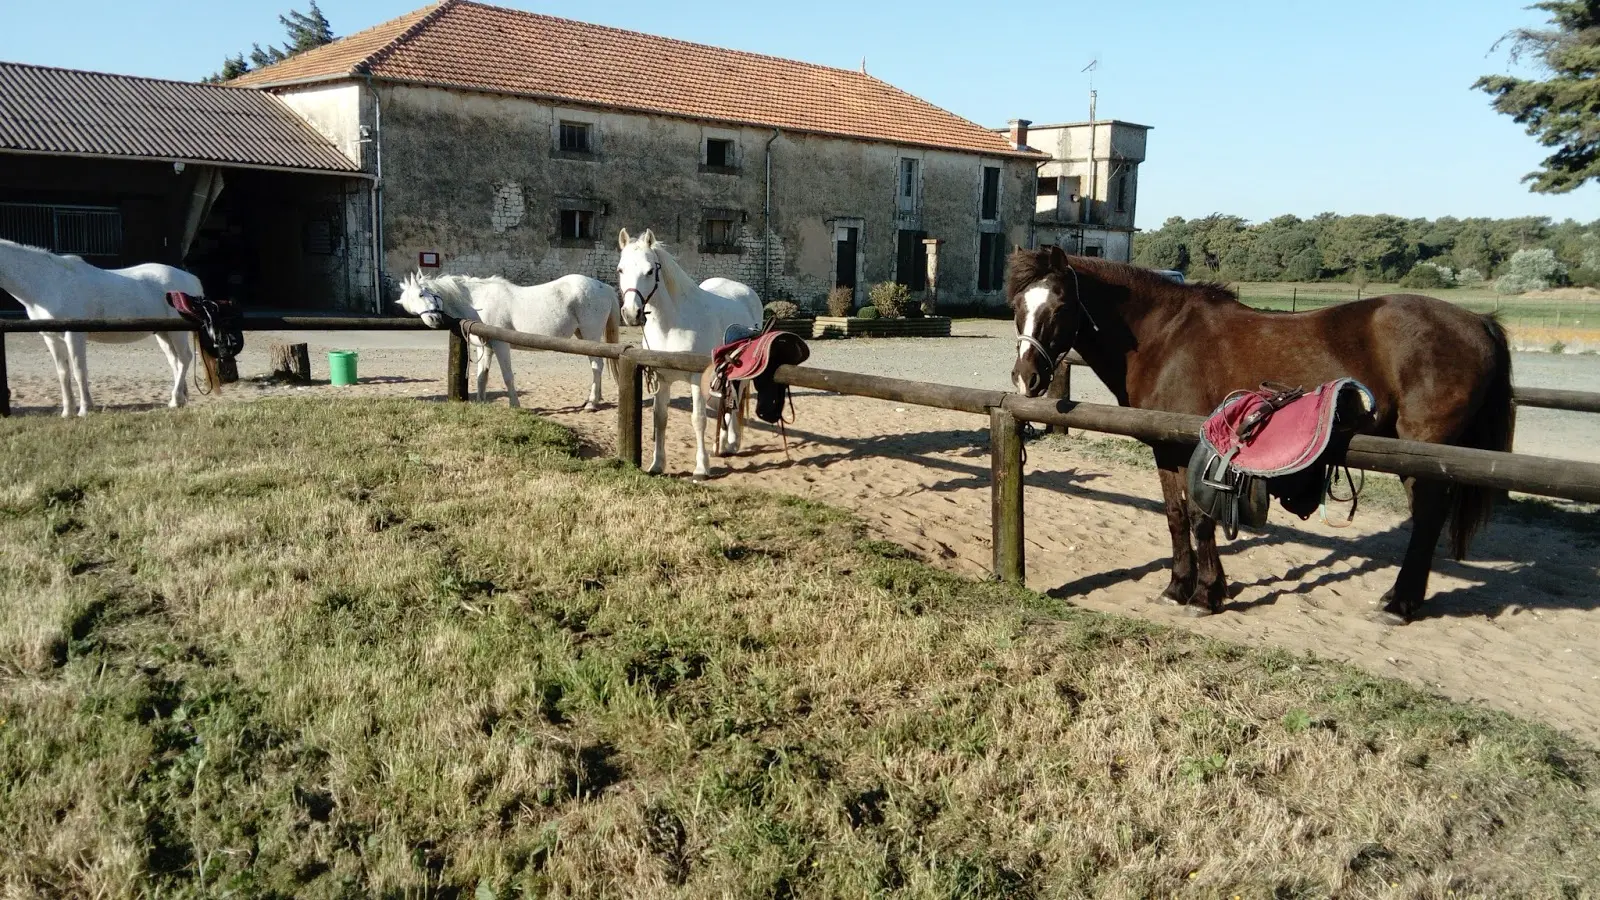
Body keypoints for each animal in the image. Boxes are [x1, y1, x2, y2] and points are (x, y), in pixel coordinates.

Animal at [0, 240, 206, 419]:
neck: (49, 283)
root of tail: (190, 278)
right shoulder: (51, 338)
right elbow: (63, 374)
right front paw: (67, 412)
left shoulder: (74, 336)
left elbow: (79, 371)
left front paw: (84, 410)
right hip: (164, 333)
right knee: (175, 361)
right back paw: (180, 399)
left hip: (177, 332)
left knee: (185, 359)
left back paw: (174, 400)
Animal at [396, 265, 620, 406]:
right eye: (410, 307)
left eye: (421, 294)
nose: (434, 320)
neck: (478, 301)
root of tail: (604, 287)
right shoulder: (485, 346)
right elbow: (482, 376)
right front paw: (480, 403)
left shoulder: (500, 344)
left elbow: (507, 376)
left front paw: (515, 405)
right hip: (582, 336)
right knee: (596, 366)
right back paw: (596, 399)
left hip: (591, 334)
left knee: (596, 366)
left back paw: (591, 402)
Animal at [611, 227, 761, 477]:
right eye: (620, 269)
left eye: (649, 271)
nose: (631, 314)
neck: (672, 325)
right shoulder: (661, 378)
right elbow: (660, 418)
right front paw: (657, 464)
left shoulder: (696, 379)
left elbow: (698, 419)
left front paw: (701, 468)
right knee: (726, 402)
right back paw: (722, 444)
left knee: (736, 400)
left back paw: (732, 442)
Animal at [1011, 245, 1510, 624]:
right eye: (1017, 308)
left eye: (1060, 307)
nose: (1025, 378)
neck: (1165, 338)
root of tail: (1478, 321)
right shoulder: (1165, 448)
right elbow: (1175, 516)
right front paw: (1177, 587)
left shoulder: (1195, 448)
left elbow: (1201, 519)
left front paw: (1206, 595)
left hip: (1426, 452)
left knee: (1427, 519)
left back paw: (1399, 604)